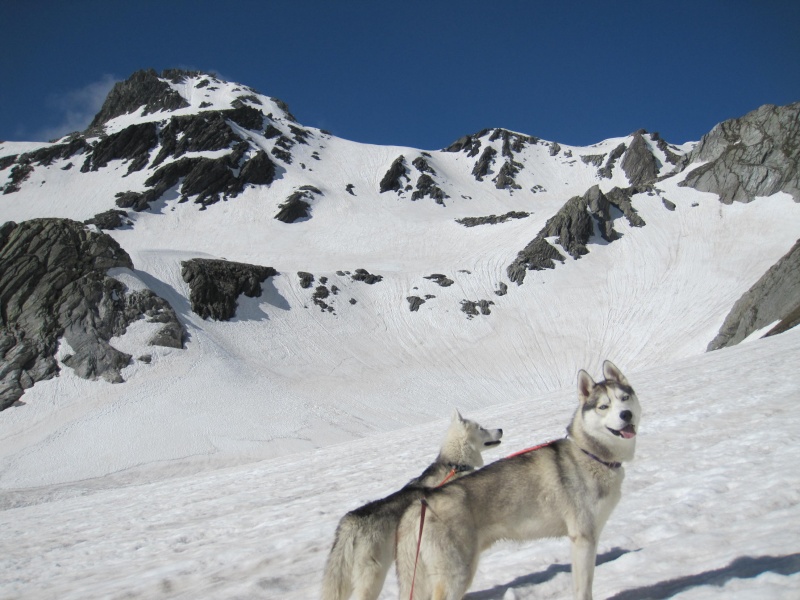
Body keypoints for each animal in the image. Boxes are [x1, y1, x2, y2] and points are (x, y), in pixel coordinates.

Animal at [396, 360, 640, 600]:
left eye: (624, 398)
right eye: (603, 406)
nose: (626, 415)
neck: (591, 454)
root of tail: (420, 503)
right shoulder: (584, 538)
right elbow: (584, 589)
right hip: (455, 576)